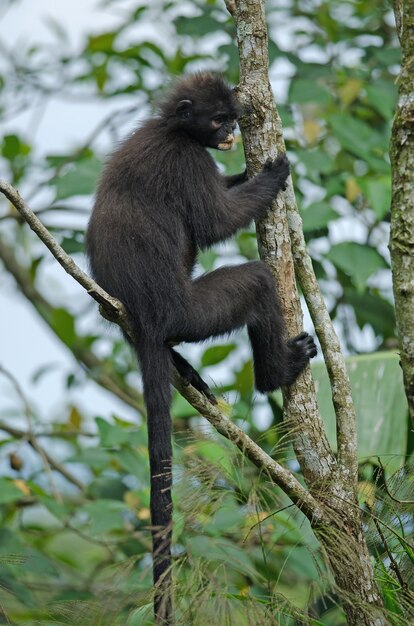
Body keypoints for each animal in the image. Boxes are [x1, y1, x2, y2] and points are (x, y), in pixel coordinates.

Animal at [85, 72, 316, 620]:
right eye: (217, 120)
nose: (231, 133)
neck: (174, 129)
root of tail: (146, 318)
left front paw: (249, 172)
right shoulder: (187, 160)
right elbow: (216, 222)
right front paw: (274, 174)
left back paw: (180, 366)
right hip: (192, 311)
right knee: (256, 281)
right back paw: (276, 372)